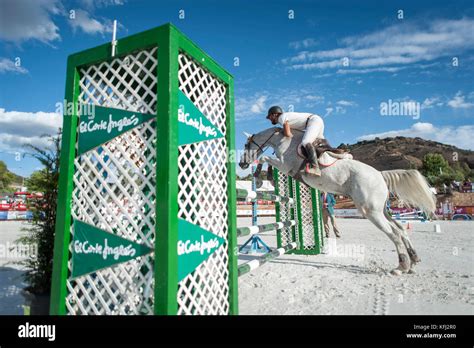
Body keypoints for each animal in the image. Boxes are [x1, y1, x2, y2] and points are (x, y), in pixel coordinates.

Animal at [241, 127, 436, 274]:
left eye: (245, 144)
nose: (242, 164)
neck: (284, 140)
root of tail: (380, 175)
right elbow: (266, 160)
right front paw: (266, 179)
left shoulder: (285, 165)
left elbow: (265, 158)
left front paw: (260, 178)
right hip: (382, 211)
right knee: (401, 229)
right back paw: (413, 261)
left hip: (371, 212)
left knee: (394, 234)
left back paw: (401, 267)